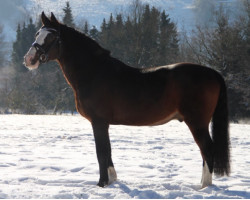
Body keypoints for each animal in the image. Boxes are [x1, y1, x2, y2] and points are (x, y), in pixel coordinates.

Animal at [23, 12, 230, 188]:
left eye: (51, 37)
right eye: (37, 33)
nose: (29, 59)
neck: (94, 72)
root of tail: (213, 73)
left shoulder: (99, 122)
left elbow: (101, 152)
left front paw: (102, 183)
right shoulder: (103, 123)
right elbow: (107, 152)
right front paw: (113, 180)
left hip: (197, 123)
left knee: (207, 150)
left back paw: (205, 187)